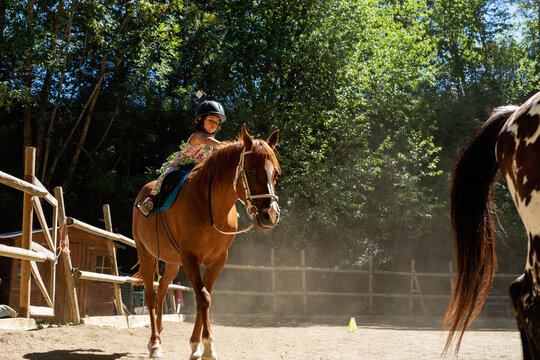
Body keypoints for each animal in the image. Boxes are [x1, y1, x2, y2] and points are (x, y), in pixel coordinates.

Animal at [132, 125, 280, 358]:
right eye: (251, 170)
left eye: (276, 173)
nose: (270, 215)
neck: (210, 206)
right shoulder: (190, 258)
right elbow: (202, 298)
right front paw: (207, 346)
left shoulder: (217, 260)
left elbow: (205, 298)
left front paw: (196, 346)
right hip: (146, 254)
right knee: (150, 295)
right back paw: (155, 344)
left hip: (172, 262)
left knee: (162, 290)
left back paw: (159, 334)